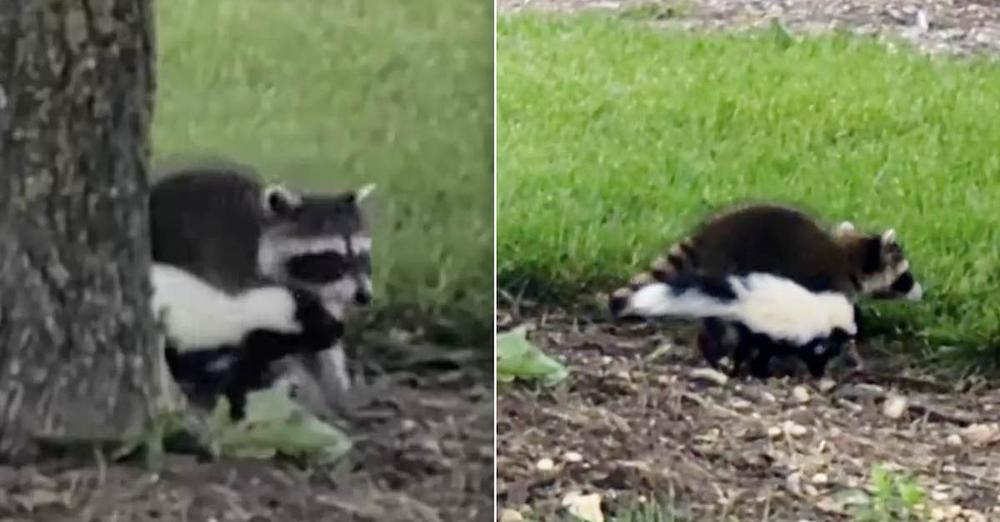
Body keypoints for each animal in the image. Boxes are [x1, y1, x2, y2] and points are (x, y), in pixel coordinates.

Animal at [620, 270, 856, 376]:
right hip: (755, 332)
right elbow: (813, 355)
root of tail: (742, 300)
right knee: (746, 352)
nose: (856, 334)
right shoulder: (810, 338)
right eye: (850, 330)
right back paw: (742, 370)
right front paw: (817, 372)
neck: (825, 311)